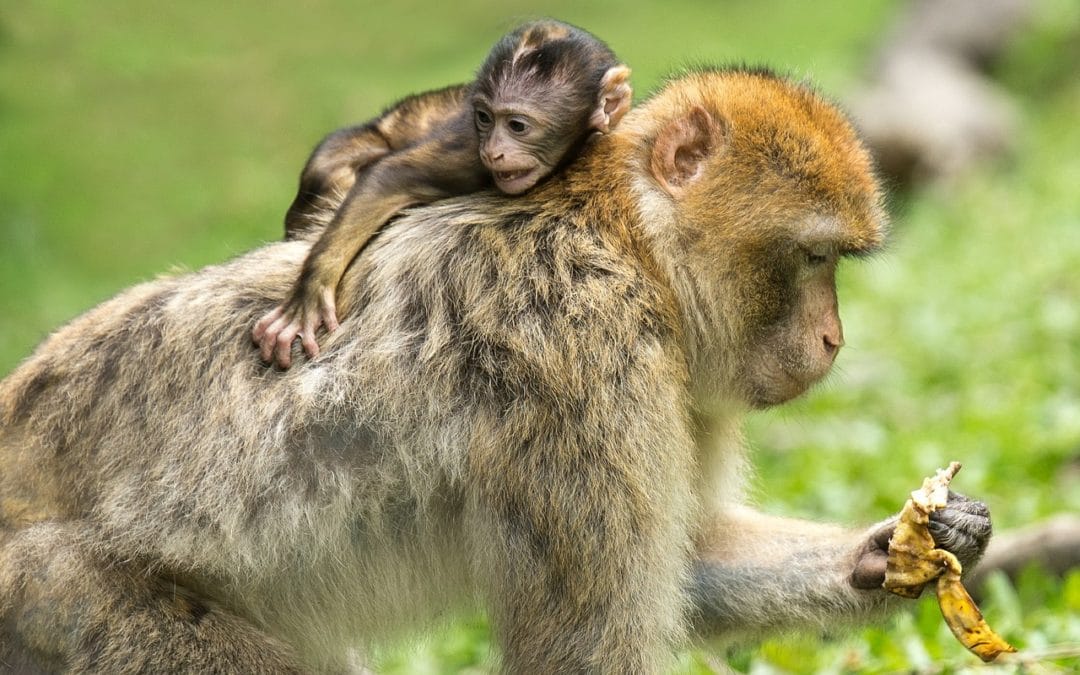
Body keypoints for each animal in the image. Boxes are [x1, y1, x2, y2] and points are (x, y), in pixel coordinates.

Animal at [0, 69, 989, 673]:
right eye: (815, 258)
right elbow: (586, 647)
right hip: (53, 598)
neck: (628, 243)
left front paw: (896, 549)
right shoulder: (580, 360)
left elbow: (689, 557)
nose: (832, 338)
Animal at [253, 21, 630, 365]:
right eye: (484, 118)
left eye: (517, 126)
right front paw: (309, 295)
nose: (494, 151)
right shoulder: (469, 154)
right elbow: (389, 178)